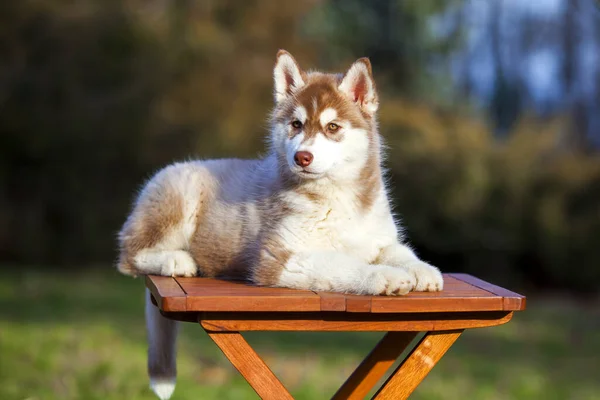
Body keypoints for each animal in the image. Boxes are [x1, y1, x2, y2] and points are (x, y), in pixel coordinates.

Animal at [118, 50, 446, 400]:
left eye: (332, 126)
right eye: (296, 124)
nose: (302, 157)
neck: (337, 196)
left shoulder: (378, 239)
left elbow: (400, 252)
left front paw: (423, 270)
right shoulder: (277, 258)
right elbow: (339, 264)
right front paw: (383, 276)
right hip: (181, 195)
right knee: (130, 255)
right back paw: (176, 260)